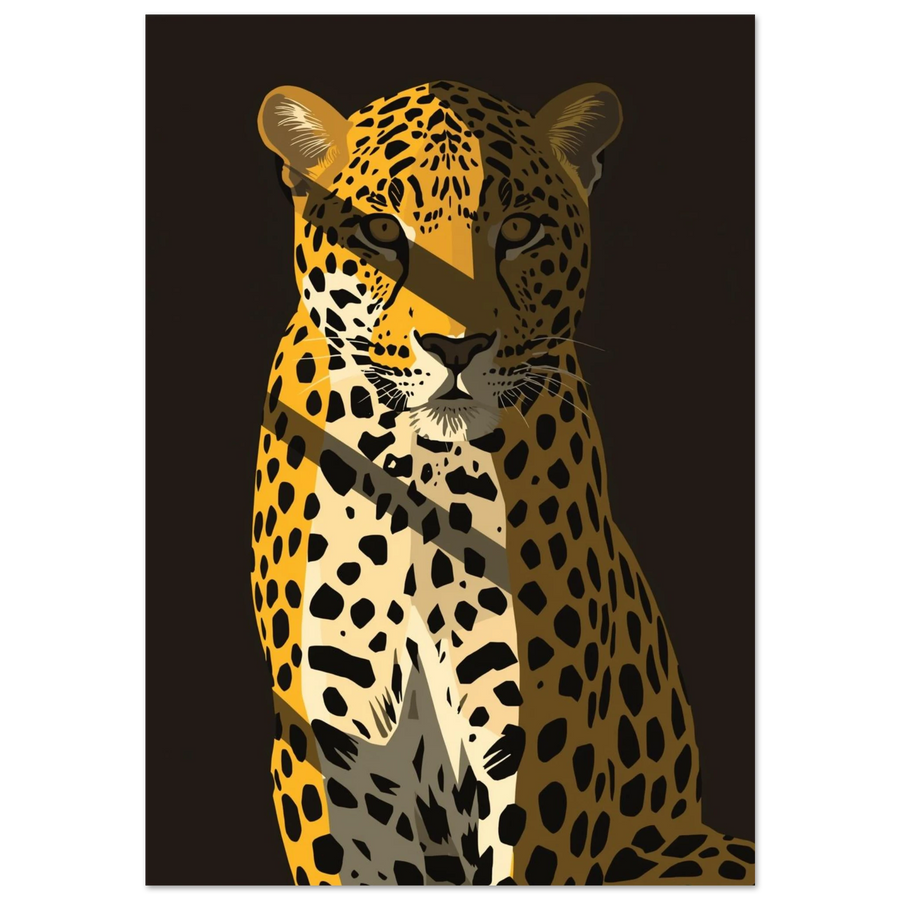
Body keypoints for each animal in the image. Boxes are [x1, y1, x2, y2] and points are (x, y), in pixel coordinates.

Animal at [249, 79, 756, 886]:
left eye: (517, 230)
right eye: (380, 231)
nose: (456, 346)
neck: (421, 473)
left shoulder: (540, 737)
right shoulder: (331, 746)